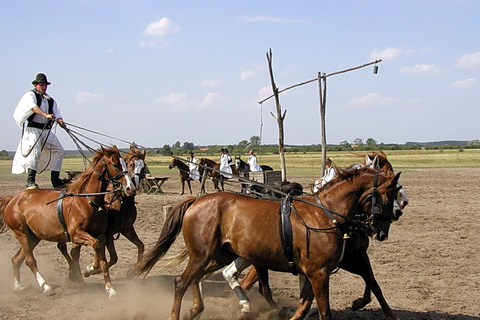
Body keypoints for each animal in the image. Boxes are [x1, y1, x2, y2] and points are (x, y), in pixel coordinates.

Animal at [0, 146, 134, 298]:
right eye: (115, 165)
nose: (129, 188)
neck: (87, 200)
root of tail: (13, 199)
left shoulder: (101, 234)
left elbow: (103, 260)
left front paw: (110, 288)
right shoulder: (76, 233)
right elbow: (95, 245)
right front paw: (90, 268)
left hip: (33, 236)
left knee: (16, 259)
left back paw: (18, 286)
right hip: (21, 232)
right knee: (30, 260)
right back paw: (45, 286)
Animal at [135, 166, 402, 318]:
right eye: (389, 197)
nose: (382, 232)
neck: (325, 214)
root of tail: (197, 201)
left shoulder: (316, 271)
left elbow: (306, 304)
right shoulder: (319, 273)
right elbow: (323, 310)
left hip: (220, 255)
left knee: (198, 278)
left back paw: (197, 309)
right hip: (203, 255)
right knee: (181, 282)